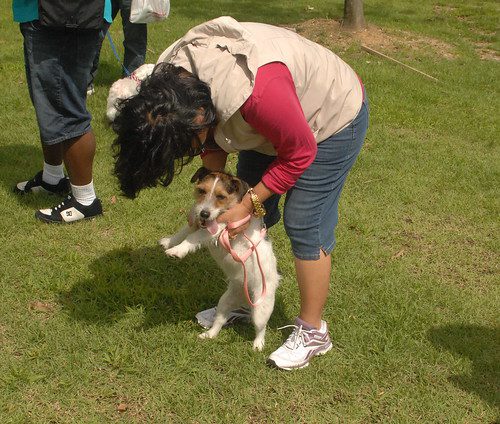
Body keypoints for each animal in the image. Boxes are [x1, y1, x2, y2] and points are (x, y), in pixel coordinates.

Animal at [159, 168, 282, 352]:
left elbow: (192, 238)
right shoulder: (197, 223)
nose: (204, 213)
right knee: (219, 321)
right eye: (201, 191)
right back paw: (209, 334)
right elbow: (184, 231)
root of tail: (245, 291)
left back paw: (258, 344)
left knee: (261, 327)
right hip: (225, 302)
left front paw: (176, 251)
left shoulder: (219, 229)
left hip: (261, 307)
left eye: (221, 196)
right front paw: (169, 242)